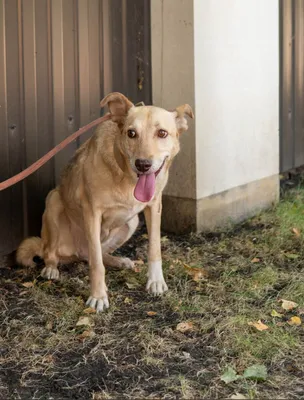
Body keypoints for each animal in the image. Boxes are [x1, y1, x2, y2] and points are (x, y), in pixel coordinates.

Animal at [16, 92, 194, 310]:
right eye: (131, 133)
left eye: (162, 133)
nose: (142, 164)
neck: (127, 176)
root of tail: (75, 251)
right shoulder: (92, 212)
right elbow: (96, 263)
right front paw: (98, 296)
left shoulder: (154, 206)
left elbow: (154, 249)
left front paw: (156, 281)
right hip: (53, 202)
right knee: (53, 252)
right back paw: (51, 269)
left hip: (132, 222)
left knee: (95, 253)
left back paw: (118, 261)